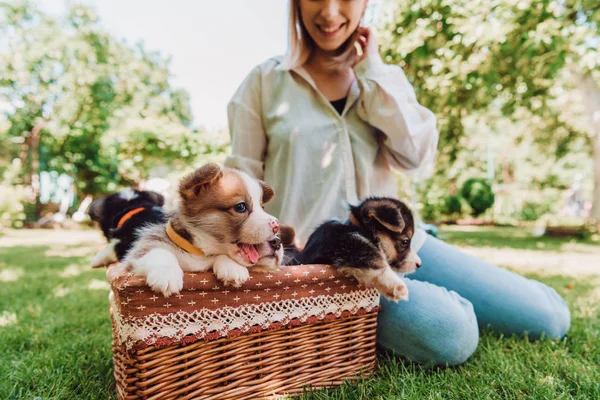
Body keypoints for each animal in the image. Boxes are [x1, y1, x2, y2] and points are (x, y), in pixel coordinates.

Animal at [124, 162, 292, 296]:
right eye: (241, 207)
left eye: (262, 207)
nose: (276, 225)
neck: (200, 252)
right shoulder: (134, 257)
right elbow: (157, 251)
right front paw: (166, 274)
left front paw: (233, 268)